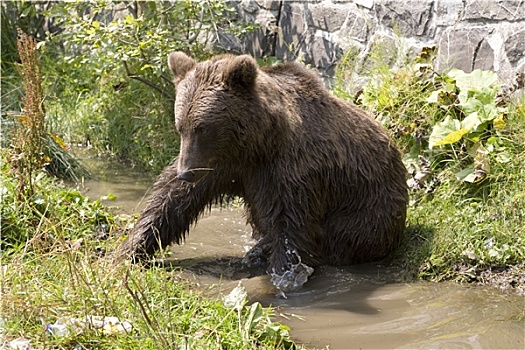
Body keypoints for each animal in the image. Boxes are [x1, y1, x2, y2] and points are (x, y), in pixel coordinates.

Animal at [118, 51, 410, 292]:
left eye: (203, 127)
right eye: (180, 126)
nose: (186, 173)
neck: (256, 144)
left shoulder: (291, 171)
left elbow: (292, 226)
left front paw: (285, 277)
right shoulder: (222, 165)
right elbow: (171, 201)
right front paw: (128, 250)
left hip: (368, 209)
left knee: (343, 237)